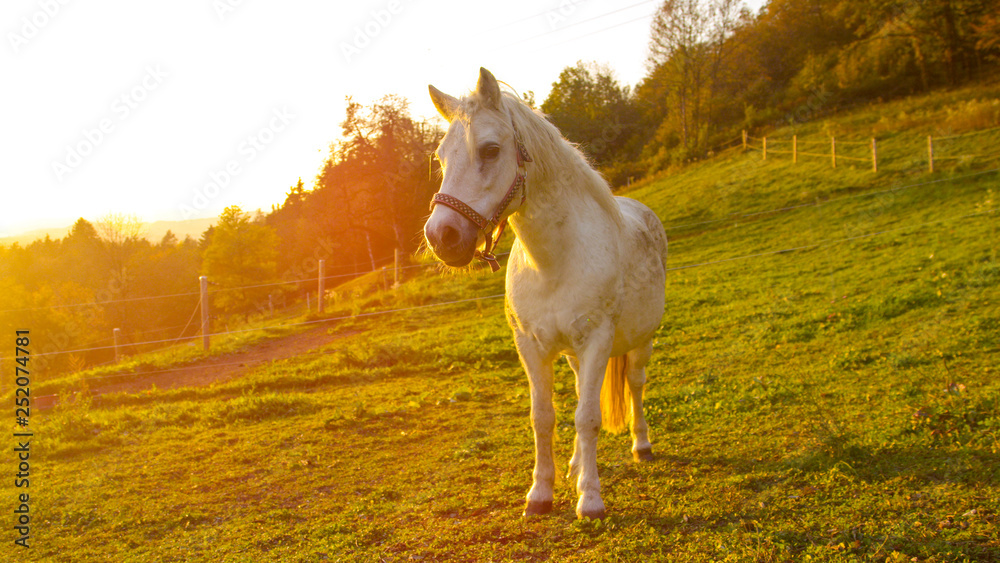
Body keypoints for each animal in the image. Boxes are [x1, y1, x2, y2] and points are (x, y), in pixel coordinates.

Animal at [422, 67, 664, 520]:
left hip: (641, 341)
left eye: (491, 149)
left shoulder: (597, 340)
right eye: (442, 158)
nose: (441, 236)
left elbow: (588, 417)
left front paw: (590, 500)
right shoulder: (531, 346)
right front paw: (541, 493)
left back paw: (641, 446)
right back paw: (575, 465)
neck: (553, 264)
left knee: (636, 385)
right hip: (573, 355)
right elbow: (544, 416)